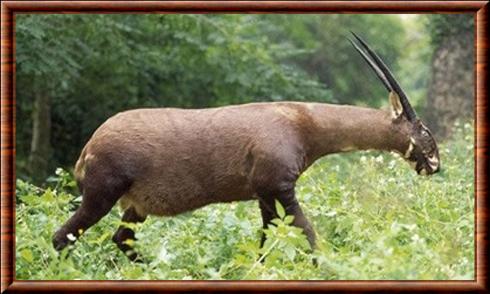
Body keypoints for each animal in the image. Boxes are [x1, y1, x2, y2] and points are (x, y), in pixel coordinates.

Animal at [52, 33, 440, 260]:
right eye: (423, 129)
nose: (435, 165)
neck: (303, 122)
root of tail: (88, 148)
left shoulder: (265, 195)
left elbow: (267, 240)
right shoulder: (280, 188)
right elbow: (308, 235)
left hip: (135, 206)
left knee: (121, 238)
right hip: (101, 195)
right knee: (62, 237)